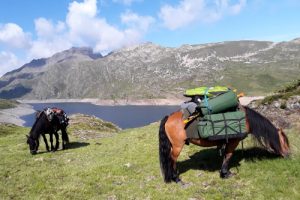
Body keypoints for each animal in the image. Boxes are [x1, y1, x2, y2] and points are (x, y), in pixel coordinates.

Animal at [158, 86, 290, 183]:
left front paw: (224, 172)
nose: (289, 155)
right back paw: (176, 179)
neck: (246, 119)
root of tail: (169, 117)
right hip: (177, 146)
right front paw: (225, 173)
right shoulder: (234, 141)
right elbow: (228, 155)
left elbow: (226, 155)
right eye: (284, 142)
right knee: (172, 160)